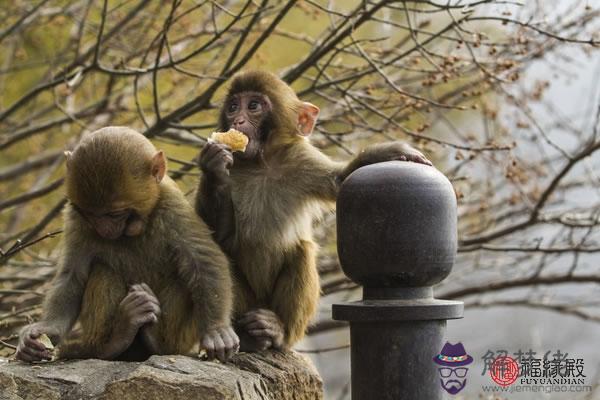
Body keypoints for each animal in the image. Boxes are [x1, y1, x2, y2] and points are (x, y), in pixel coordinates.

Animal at [15, 127, 238, 362]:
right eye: (90, 215)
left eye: (115, 214)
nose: (105, 231)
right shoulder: (76, 219)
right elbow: (72, 276)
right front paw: (45, 331)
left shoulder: (173, 205)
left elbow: (204, 261)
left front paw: (216, 329)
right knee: (103, 271)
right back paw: (115, 340)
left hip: (183, 339)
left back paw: (157, 343)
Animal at [197, 70, 432, 352]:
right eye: (233, 107)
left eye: (253, 106)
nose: (238, 120)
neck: (261, 164)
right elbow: (216, 237)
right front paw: (214, 169)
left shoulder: (301, 157)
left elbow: (339, 180)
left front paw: (389, 153)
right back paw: (249, 338)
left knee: (302, 250)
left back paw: (276, 332)